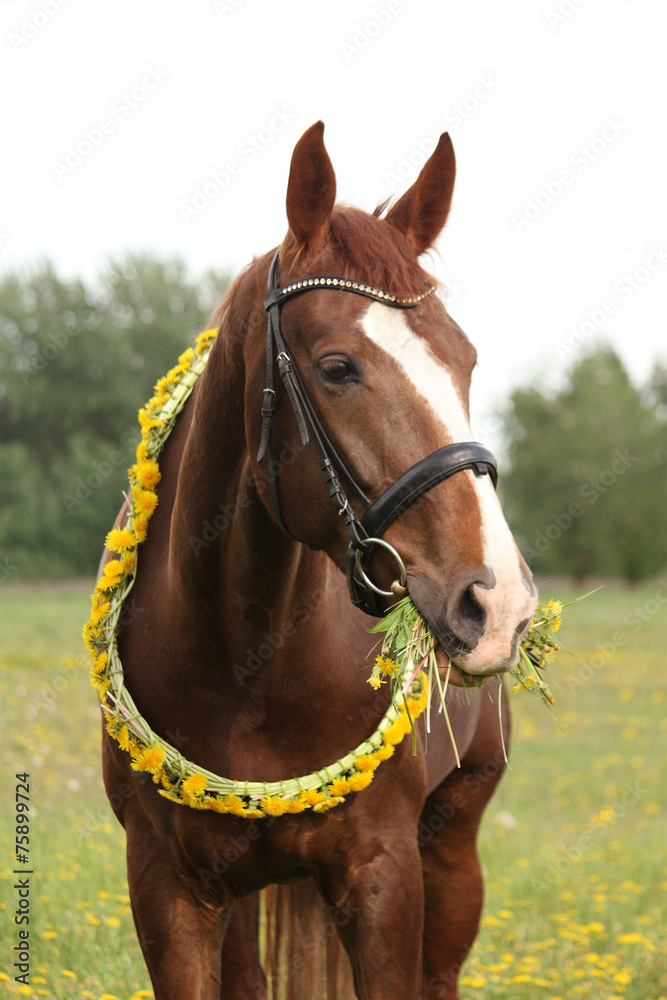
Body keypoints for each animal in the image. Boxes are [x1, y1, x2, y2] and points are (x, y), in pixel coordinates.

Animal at [98, 121, 537, 1000]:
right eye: (337, 368)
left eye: (466, 360)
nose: (497, 604)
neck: (246, 659)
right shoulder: (168, 888)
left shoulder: (383, 878)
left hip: (452, 851)